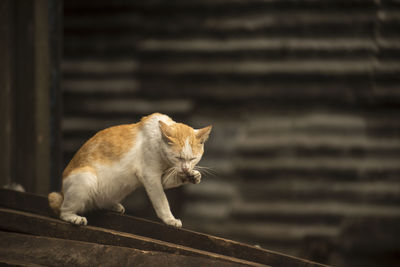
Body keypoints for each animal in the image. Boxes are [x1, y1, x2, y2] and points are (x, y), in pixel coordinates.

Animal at [48, 113, 212, 228]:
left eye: (193, 159)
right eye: (178, 157)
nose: (185, 168)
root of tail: (62, 193)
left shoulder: (161, 178)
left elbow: (174, 179)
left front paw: (194, 176)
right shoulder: (150, 176)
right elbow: (162, 202)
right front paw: (170, 219)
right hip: (87, 178)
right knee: (63, 211)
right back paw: (74, 217)